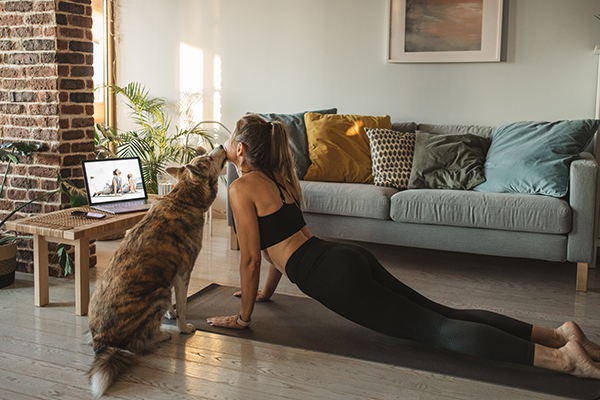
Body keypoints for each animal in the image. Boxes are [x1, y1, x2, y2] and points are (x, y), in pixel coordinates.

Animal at [88, 146, 227, 396]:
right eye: (210, 158)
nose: (221, 147)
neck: (183, 199)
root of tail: (102, 342)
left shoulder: (169, 274)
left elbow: (175, 303)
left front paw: (171, 315)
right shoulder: (183, 272)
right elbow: (183, 306)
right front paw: (183, 327)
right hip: (157, 296)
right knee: (138, 343)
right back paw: (163, 335)